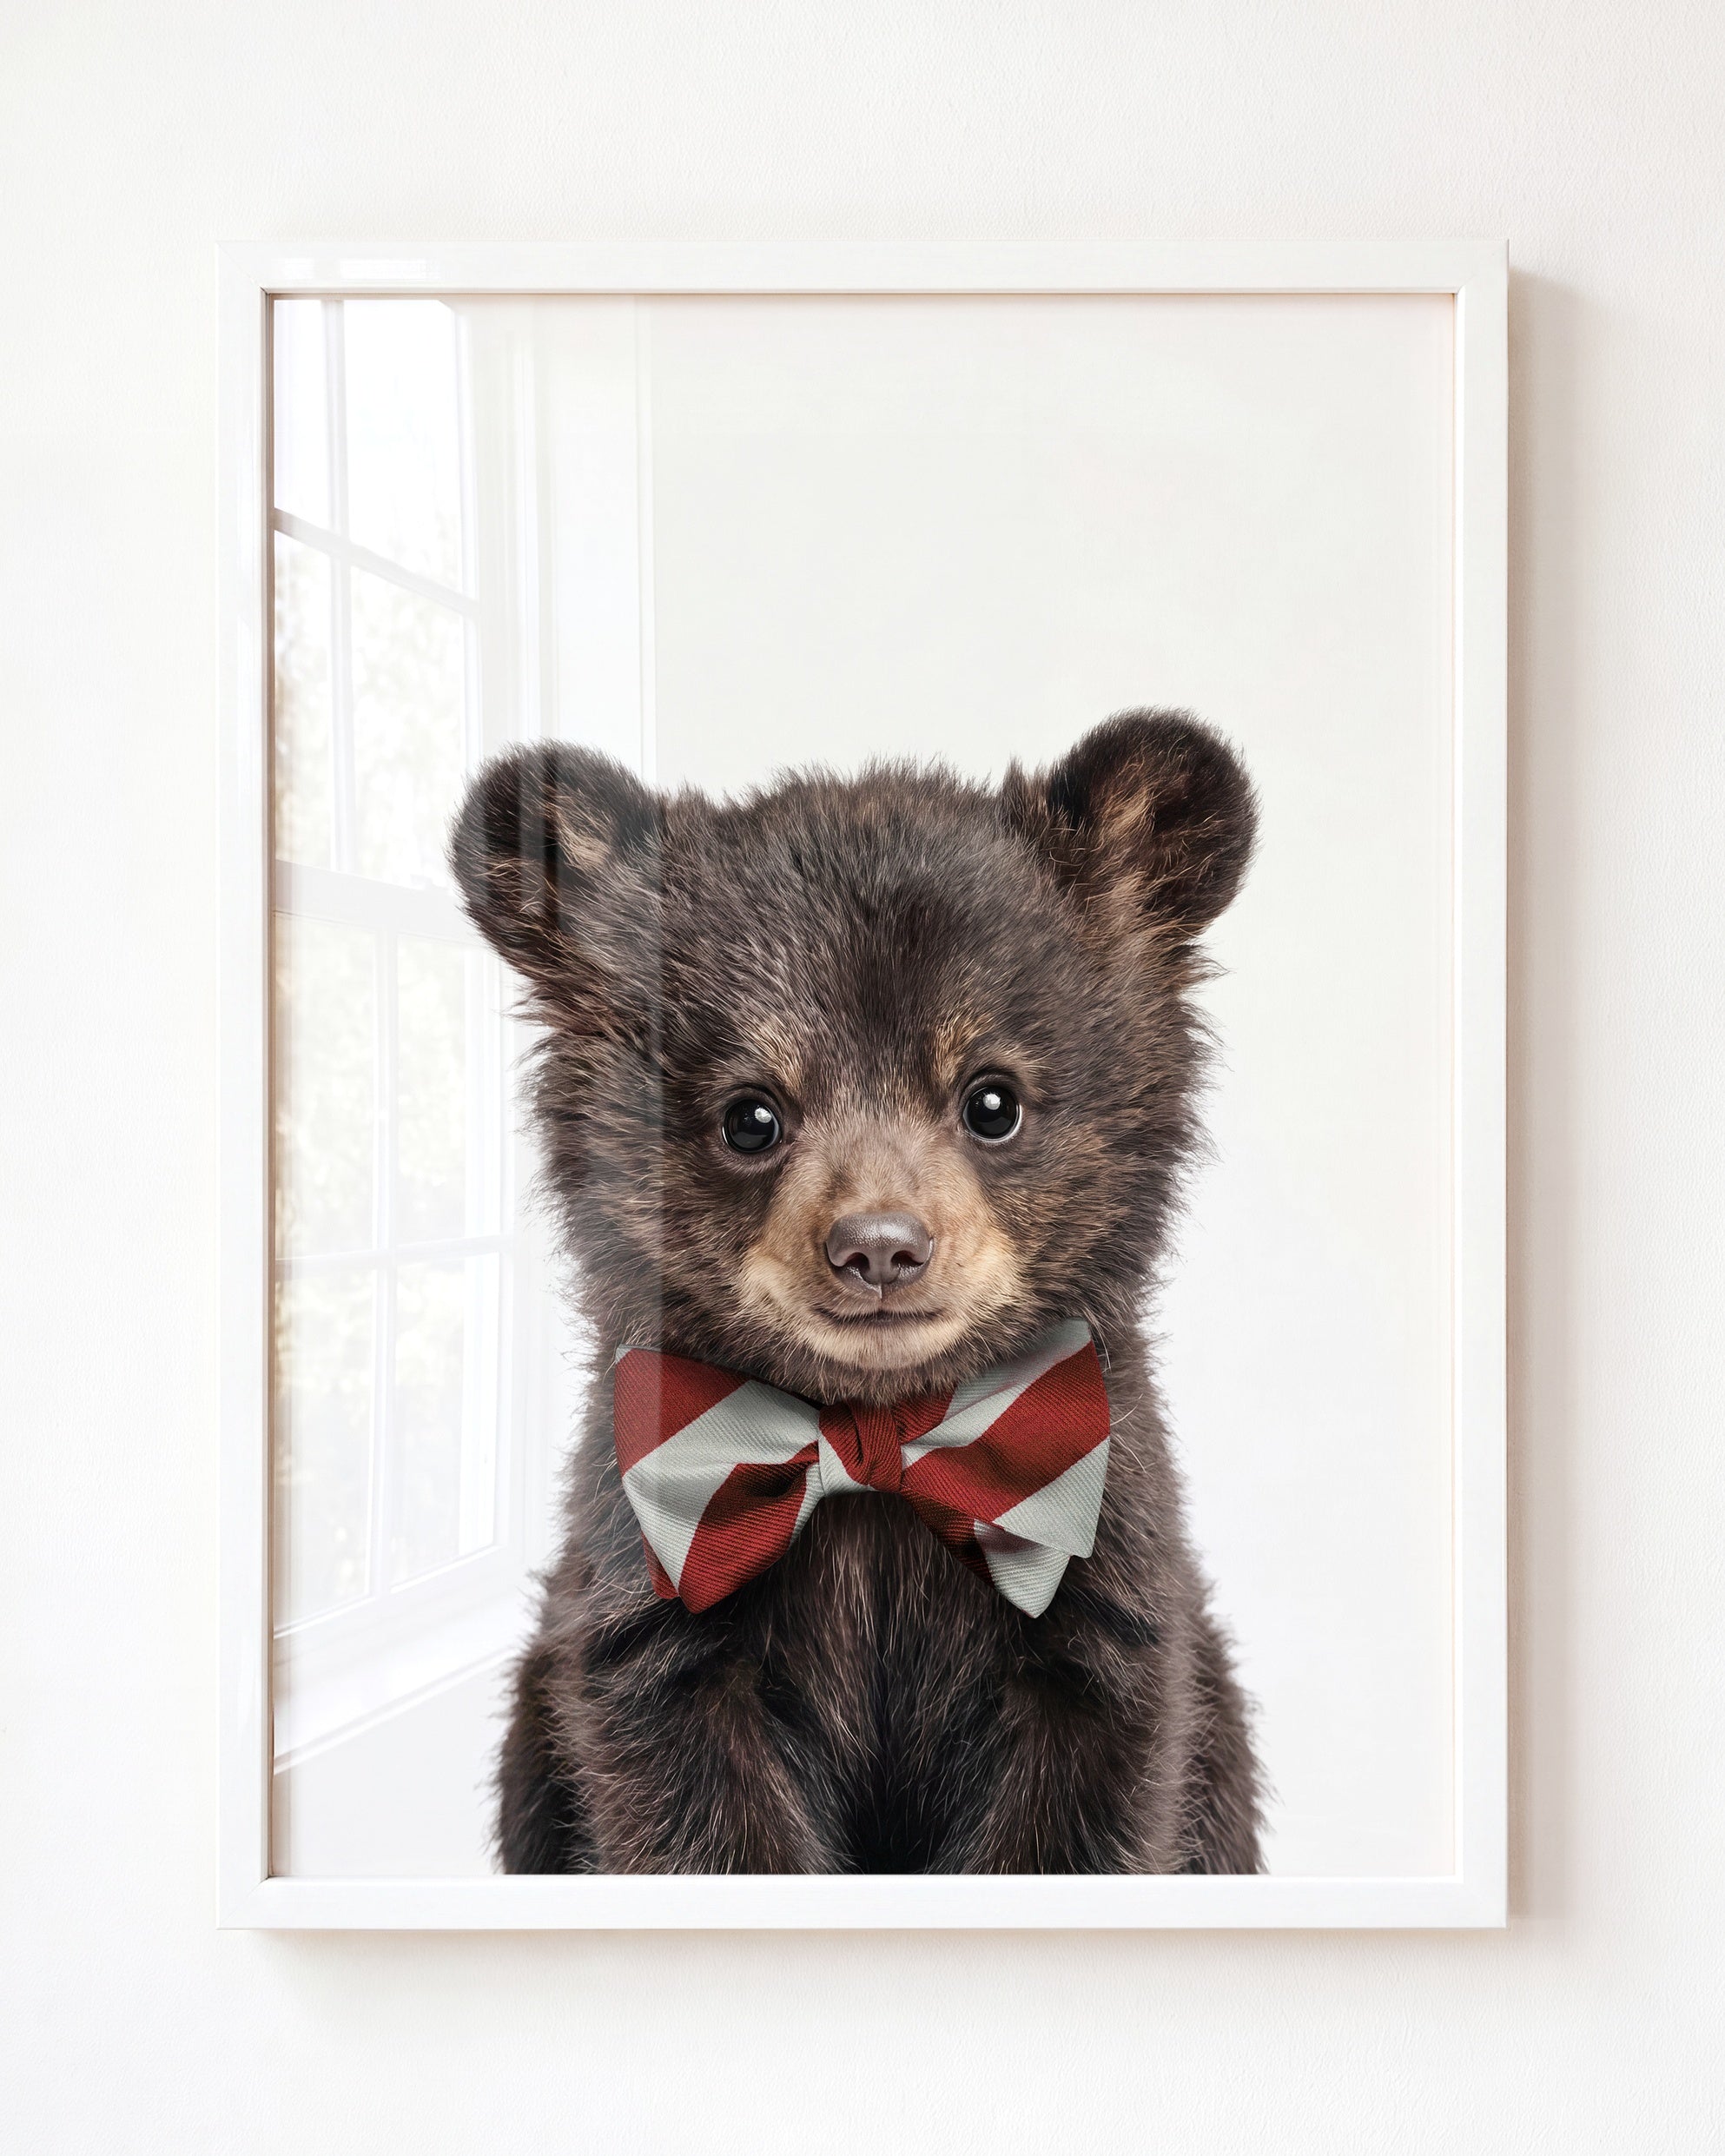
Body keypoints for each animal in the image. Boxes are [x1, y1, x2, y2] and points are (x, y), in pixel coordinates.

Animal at [450, 708, 1265, 1874]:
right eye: (750, 1115)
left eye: (993, 1099)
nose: (878, 1248)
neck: (881, 1446)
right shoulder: (651, 1601)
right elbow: (691, 1804)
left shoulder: (1102, 1589)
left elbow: (1085, 1805)